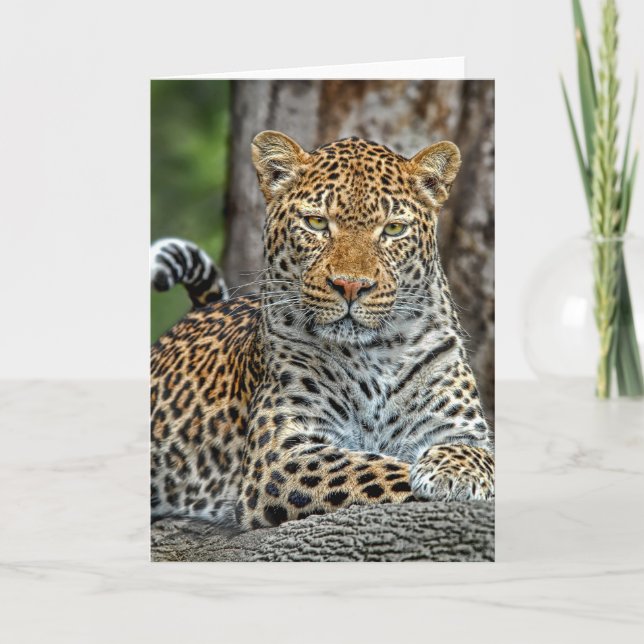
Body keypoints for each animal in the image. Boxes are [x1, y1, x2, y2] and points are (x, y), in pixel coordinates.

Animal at [151, 130, 494, 532]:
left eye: (393, 229)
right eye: (316, 223)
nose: (350, 285)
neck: (375, 353)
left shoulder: (459, 430)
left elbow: (477, 455)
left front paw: (454, 473)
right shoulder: (282, 453)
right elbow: (377, 468)